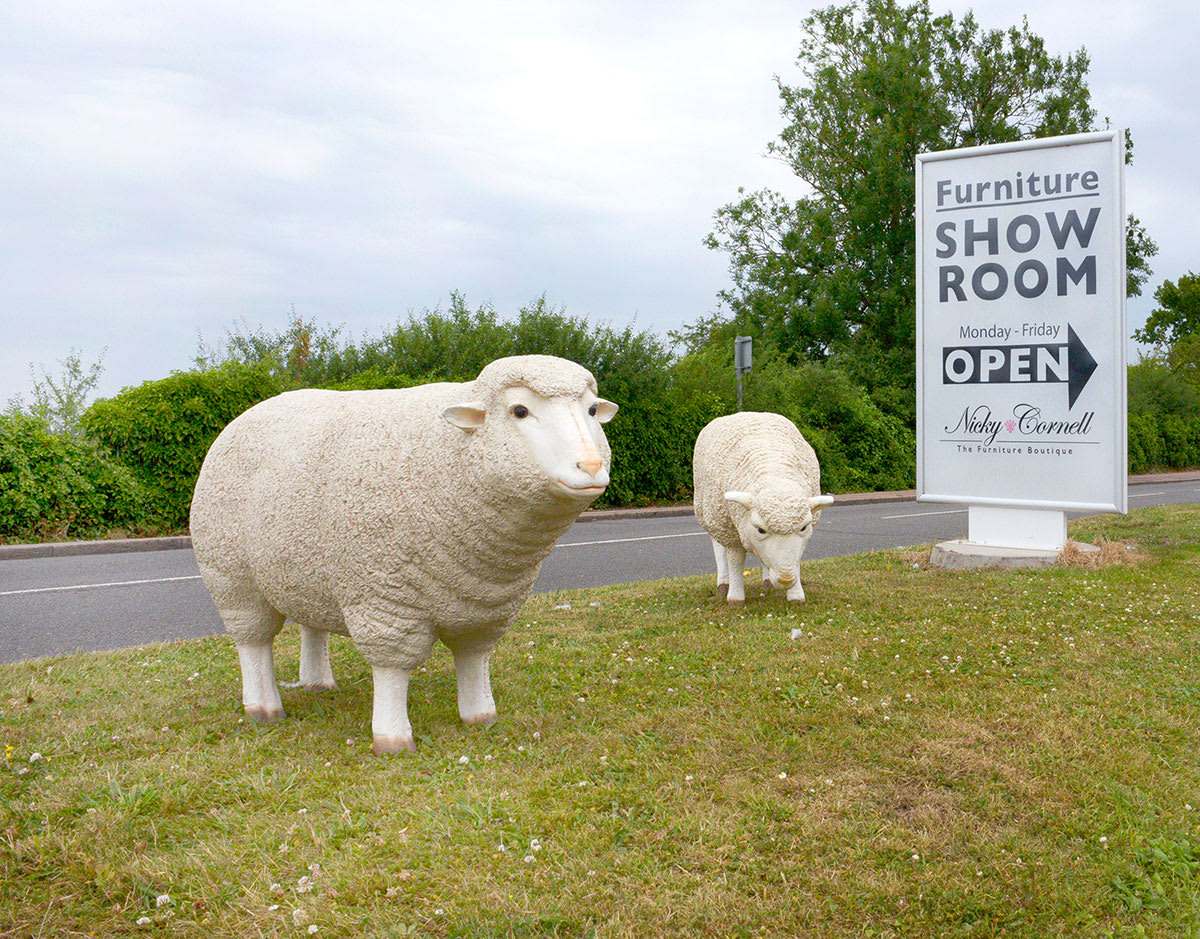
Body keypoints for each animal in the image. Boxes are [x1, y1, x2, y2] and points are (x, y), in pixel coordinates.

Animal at [192, 355, 619, 758]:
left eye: (591, 410)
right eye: (519, 411)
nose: (591, 466)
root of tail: (245, 415)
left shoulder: (486, 604)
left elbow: (474, 659)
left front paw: (480, 717)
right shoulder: (384, 601)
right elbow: (392, 669)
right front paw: (393, 739)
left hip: (306, 566)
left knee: (311, 626)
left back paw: (318, 683)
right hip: (231, 576)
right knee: (253, 643)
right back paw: (263, 709)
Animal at [696, 413, 835, 607]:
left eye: (803, 527)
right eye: (760, 529)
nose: (785, 580)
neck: (774, 473)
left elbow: (796, 558)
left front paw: (796, 595)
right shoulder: (732, 530)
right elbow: (735, 559)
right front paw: (736, 598)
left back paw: (767, 581)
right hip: (713, 514)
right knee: (718, 547)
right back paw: (723, 584)